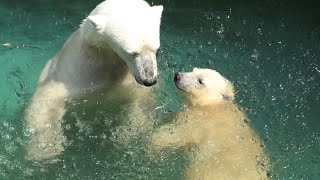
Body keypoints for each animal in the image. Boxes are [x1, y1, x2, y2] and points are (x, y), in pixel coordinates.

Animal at [25, 0, 162, 160]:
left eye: (156, 49)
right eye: (132, 53)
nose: (149, 80)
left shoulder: (128, 81)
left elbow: (140, 101)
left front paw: (132, 129)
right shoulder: (71, 73)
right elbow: (47, 102)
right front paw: (46, 148)